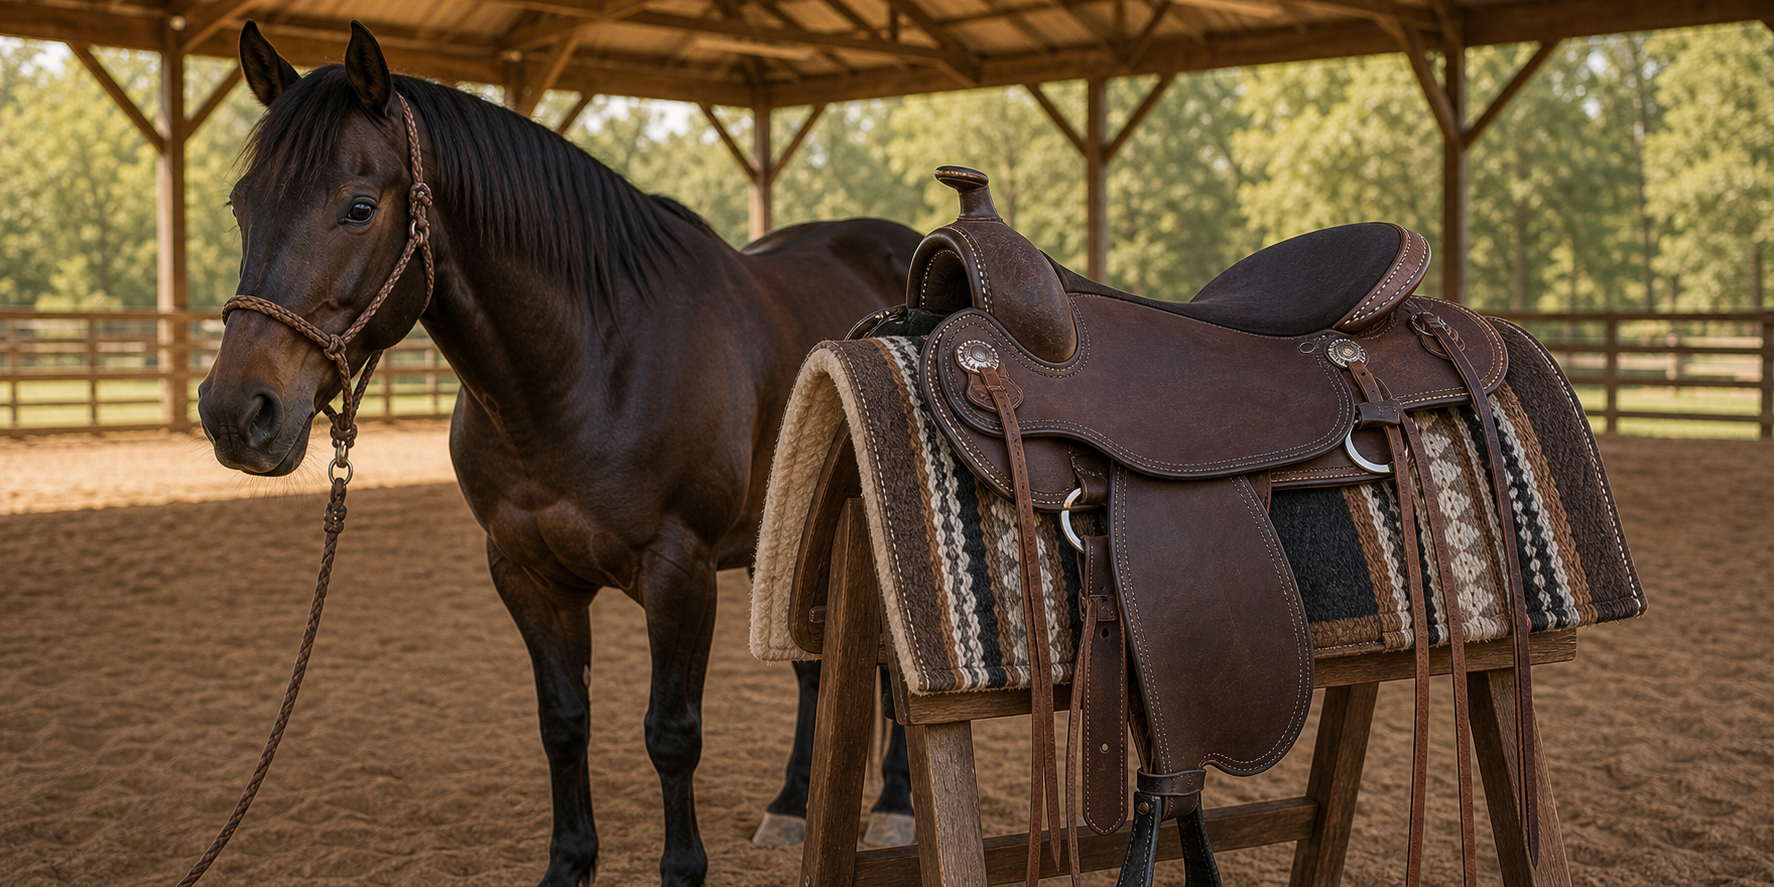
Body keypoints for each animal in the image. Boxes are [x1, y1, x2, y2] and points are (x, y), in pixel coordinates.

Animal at [199, 21, 918, 886]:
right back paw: (790, 806)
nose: (236, 412)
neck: (591, 363)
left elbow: (671, 732)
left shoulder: (680, 574)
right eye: (241, 205)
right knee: (815, 666)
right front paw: (569, 863)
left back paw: (895, 806)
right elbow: (563, 721)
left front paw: (683, 869)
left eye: (359, 207)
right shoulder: (528, 575)